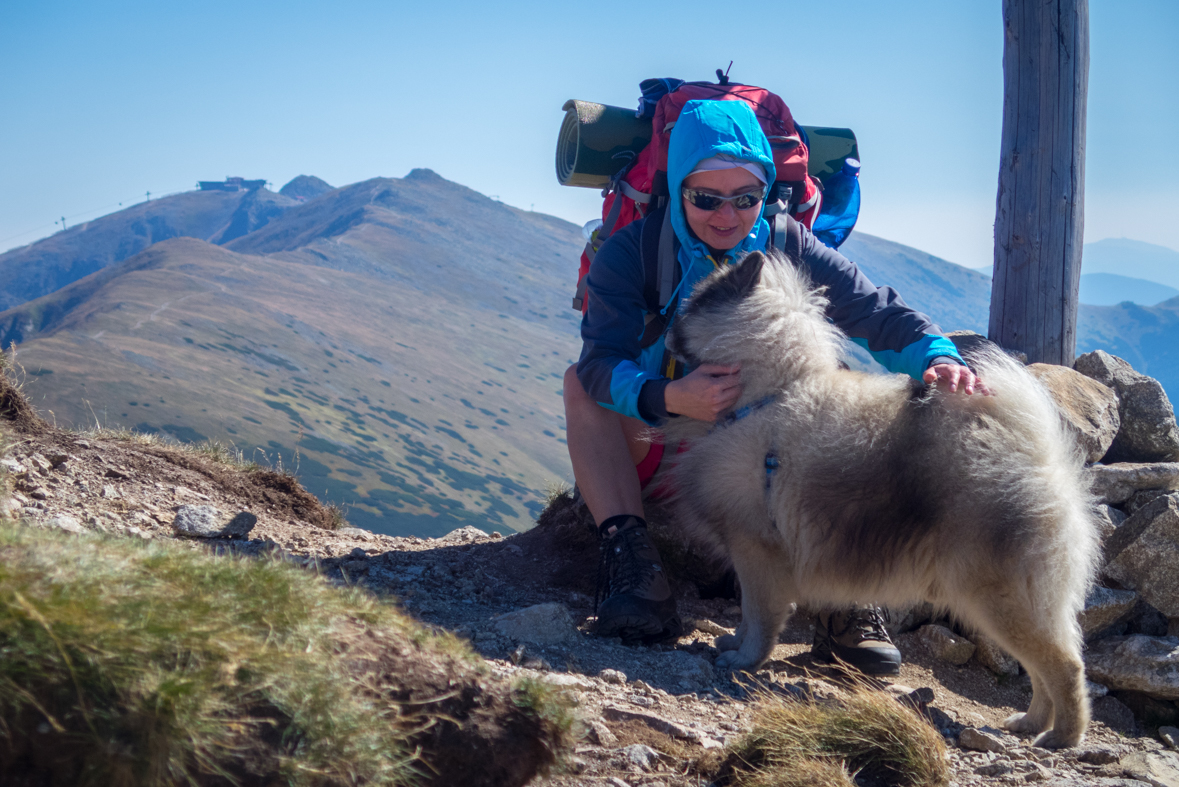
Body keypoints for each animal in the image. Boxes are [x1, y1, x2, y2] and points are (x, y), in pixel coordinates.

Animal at [669, 248, 1098, 749]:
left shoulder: (757, 551)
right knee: (1041, 667)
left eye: (695, 302)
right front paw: (733, 644)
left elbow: (758, 617)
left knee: (1064, 666)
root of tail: (1041, 459)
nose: (665, 326)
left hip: (1001, 599)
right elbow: (746, 619)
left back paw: (1062, 736)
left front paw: (743, 660)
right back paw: (1030, 723)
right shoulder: (750, 553)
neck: (769, 391)